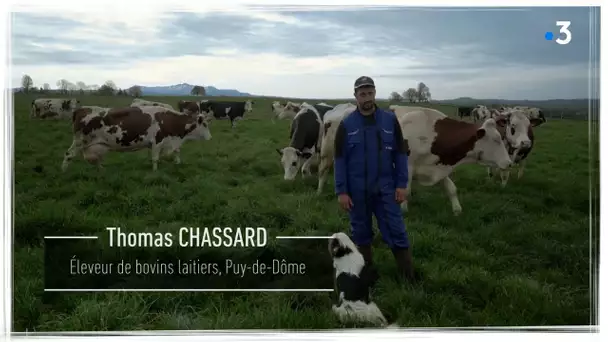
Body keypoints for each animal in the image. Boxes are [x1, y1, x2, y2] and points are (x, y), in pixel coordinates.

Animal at [61, 105, 213, 172]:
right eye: (205, 124)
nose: (210, 138)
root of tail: (81, 109)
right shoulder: (157, 142)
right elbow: (155, 158)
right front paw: (155, 172)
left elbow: (176, 152)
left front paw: (178, 163)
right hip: (80, 141)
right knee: (68, 154)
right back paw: (64, 171)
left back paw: (102, 169)